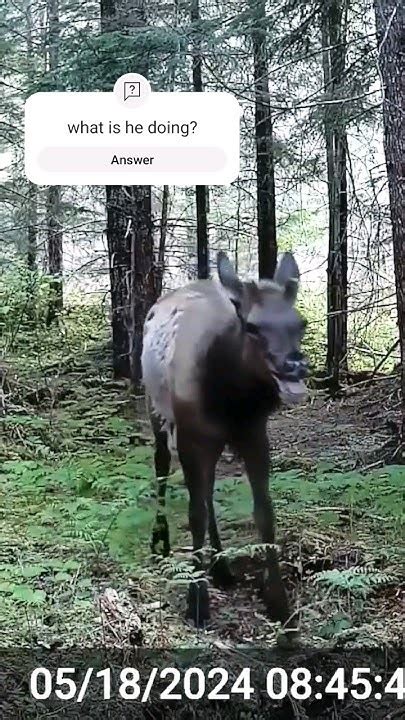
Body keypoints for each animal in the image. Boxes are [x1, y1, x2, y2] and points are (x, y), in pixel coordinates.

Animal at [141, 252, 306, 632]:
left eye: (301, 324)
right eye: (253, 327)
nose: (294, 366)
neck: (232, 400)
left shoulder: (254, 434)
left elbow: (264, 512)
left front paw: (279, 604)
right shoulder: (191, 437)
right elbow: (195, 514)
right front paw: (197, 602)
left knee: (208, 489)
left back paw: (221, 566)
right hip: (157, 411)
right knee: (161, 469)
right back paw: (162, 541)